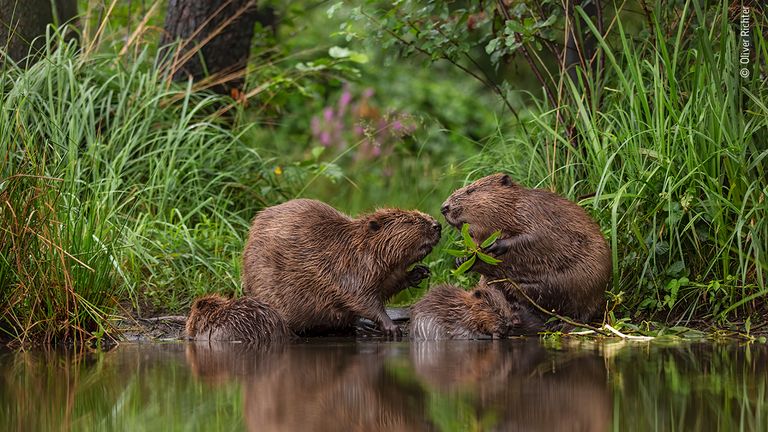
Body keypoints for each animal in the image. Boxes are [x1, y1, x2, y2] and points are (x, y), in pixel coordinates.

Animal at [243, 199, 440, 338]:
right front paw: (391, 327)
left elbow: (390, 285)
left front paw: (420, 272)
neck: (356, 247)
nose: (437, 225)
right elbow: (362, 299)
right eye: (409, 221)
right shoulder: (348, 269)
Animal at [408, 284, 540, 340]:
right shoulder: (455, 321)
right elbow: (463, 333)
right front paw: (495, 335)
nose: (509, 325)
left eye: (507, 308)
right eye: (495, 310)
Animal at [440, 172, 608, 324]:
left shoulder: (532, 211)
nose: (444, 207)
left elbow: (536, 235)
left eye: (470, 190)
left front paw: (495, 245)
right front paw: (461, 260)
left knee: (582, 313)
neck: (513, 205)